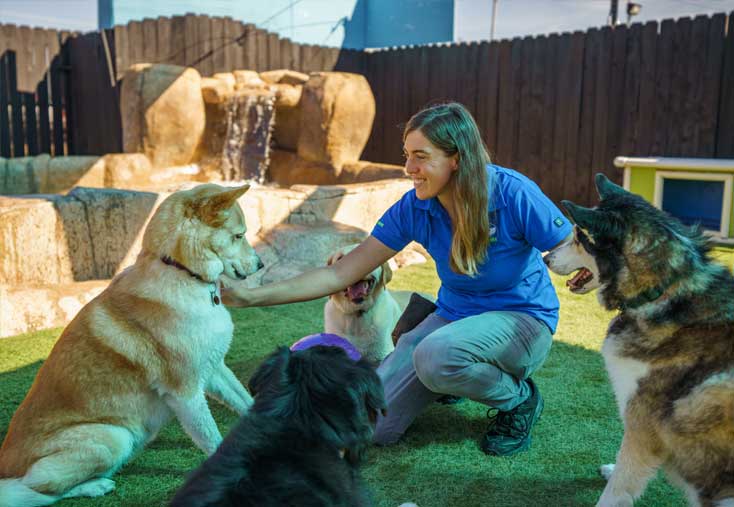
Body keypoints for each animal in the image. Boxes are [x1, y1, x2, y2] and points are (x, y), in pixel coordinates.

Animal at [0, 185, 264, 506]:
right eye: (239, 235)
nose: (262, 264)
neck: (181, 272)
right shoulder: (185, 392)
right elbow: (213, 439)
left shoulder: (214, 369)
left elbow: (246, 402)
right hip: (111, 437)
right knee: (35, 489)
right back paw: (94, 486)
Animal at [548, 174, 734, 504]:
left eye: (578, 236)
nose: (545, 258)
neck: (665, 289)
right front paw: (612, 468)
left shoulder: (642, 426)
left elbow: (617, 487)